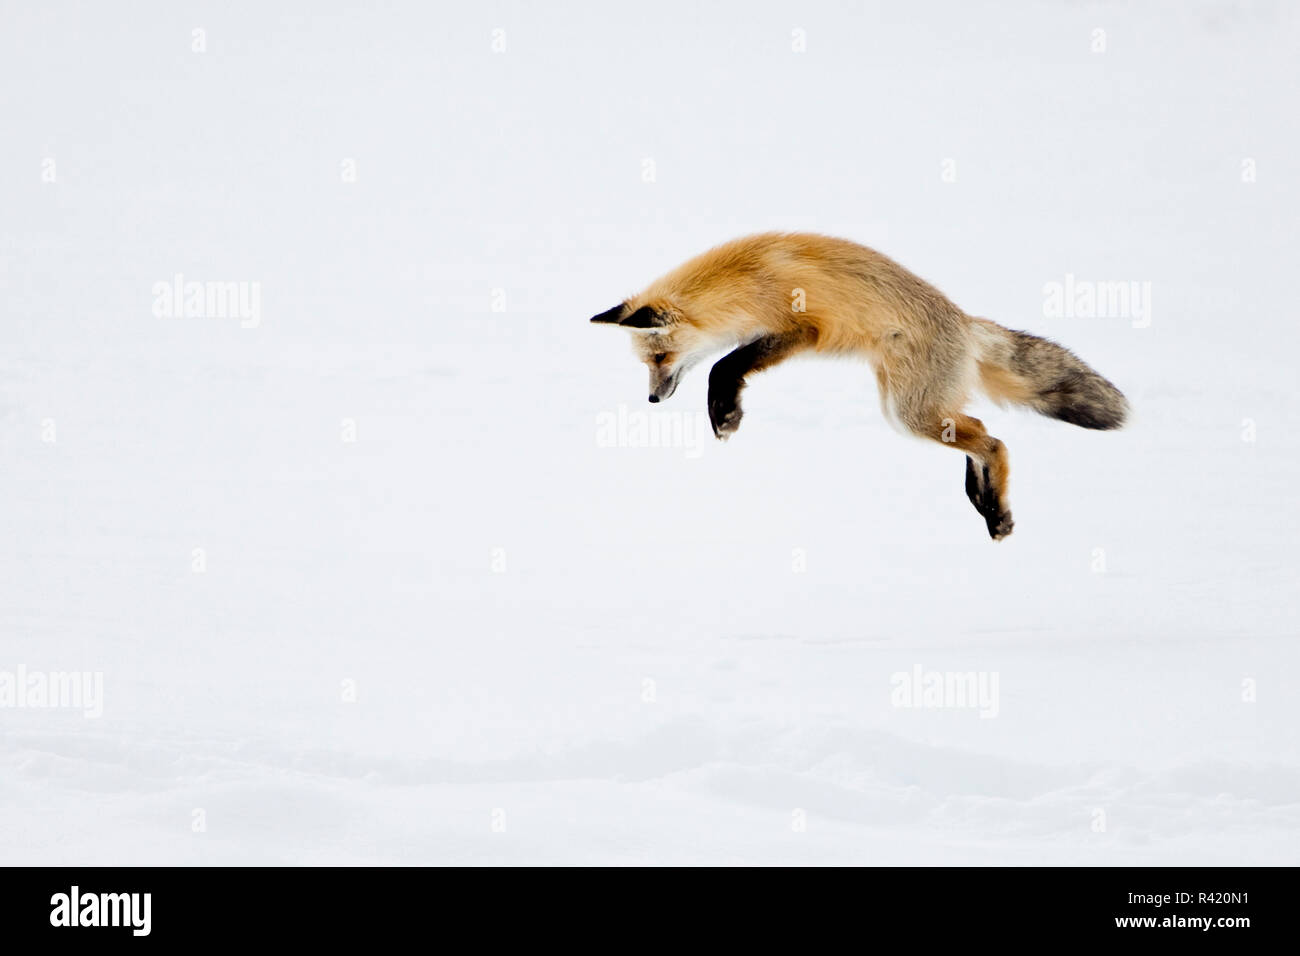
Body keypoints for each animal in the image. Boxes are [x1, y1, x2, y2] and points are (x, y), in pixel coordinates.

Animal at [592, 231, 1128, 538]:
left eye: (659, 358)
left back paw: (994, 511)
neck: (744, 279)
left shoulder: (799, 328)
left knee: (993, 441)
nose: (652, 398)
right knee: (980, 431)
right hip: (909, 409)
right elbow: (725, 364)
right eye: (646, 363)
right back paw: (985, 502)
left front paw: (724, 413)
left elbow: (723, 366)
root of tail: (964, 322)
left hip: (910, 412)